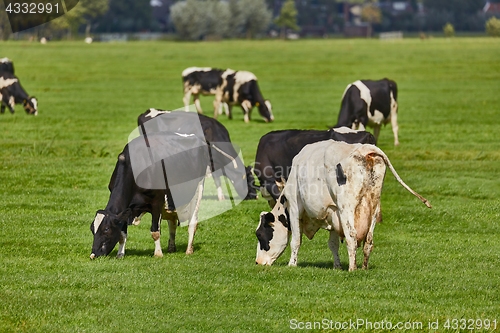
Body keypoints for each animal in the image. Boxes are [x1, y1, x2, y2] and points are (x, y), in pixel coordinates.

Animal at [256, 139, 432, 270]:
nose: (257, 262)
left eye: (259, 235)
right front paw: (337, 266)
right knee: (369, 241)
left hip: (347, 207)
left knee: (352, 237)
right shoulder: (334, 213)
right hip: (373, 207)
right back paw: (364, 267)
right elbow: (333, 244)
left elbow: (296, 240)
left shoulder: (294, 207)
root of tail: (366, 149)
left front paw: (292, 264)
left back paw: (352, 268)